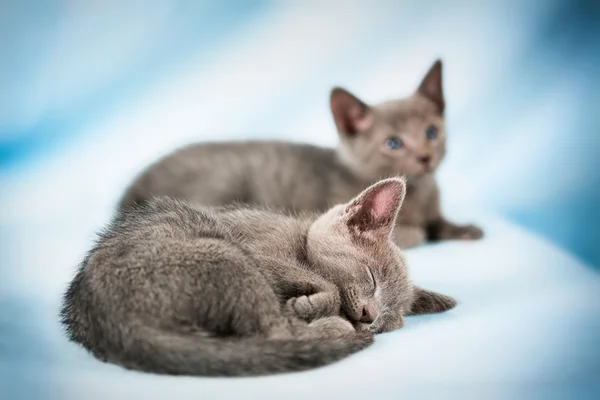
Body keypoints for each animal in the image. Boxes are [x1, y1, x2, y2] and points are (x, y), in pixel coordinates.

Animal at [61, 178, 454, 376]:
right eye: (371, 278)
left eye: (391, 318)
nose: (371, 318)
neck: (299, 238)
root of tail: (102, 317)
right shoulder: (260, 250)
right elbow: (324, 283)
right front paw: (315, 304)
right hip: (223, 254)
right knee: (274, 330)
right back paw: (333, 325)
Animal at [120, 59, 482, 248]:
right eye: (393, 143)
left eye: (431, 132)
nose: (425, 157)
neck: (420, 193)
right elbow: (415, 233)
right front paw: (421, 232)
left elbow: (438, 222)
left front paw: (463, 228)